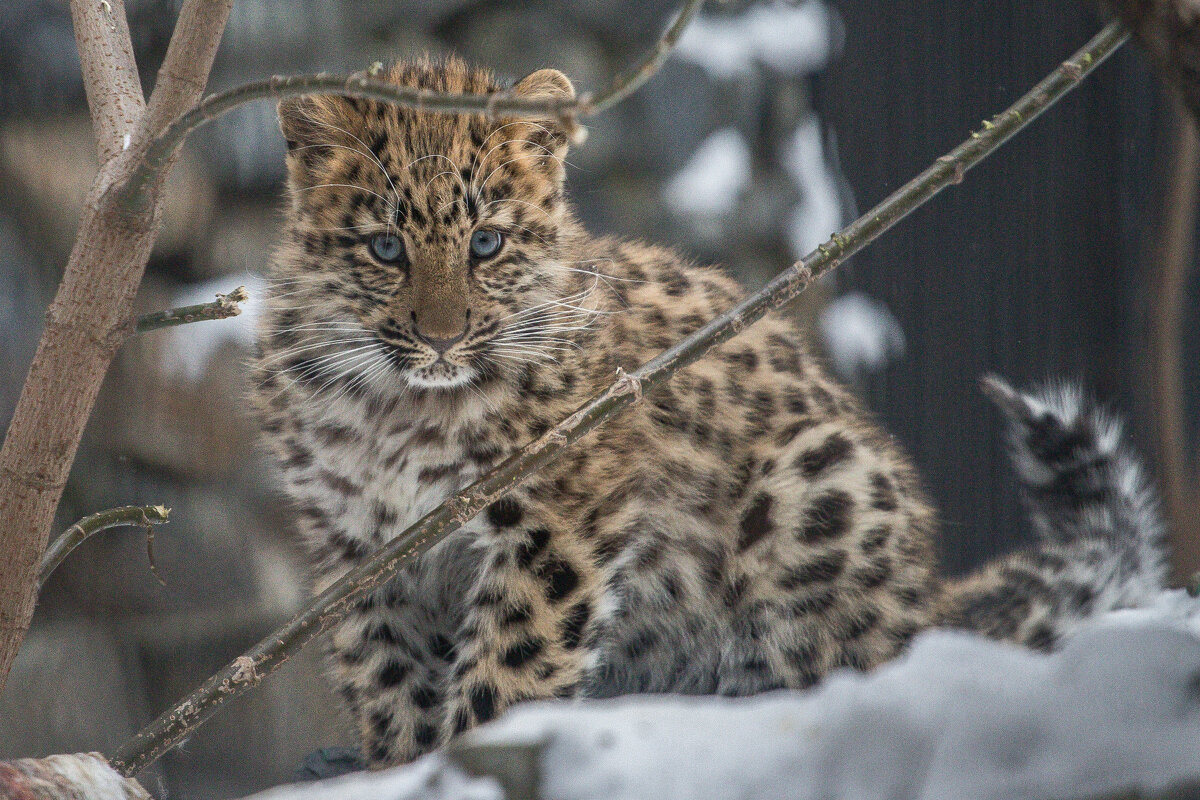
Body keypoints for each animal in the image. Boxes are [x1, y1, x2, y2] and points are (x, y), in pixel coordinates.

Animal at [250, 57, 1161, 767]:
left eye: (486, 244)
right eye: (385, 248)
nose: (441, 339)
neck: (399, 411)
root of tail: (928, 607)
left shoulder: (561, 516)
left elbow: (511, 665)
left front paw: (471, 750)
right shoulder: (359, 552)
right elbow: (388, 680)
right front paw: (399, 766)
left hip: (819, 484)